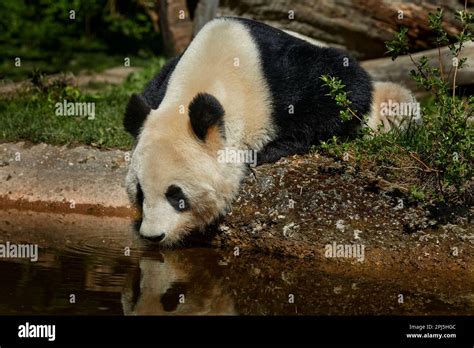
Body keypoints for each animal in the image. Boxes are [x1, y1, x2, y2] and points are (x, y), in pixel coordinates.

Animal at [123, 15, 418, 245]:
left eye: (176, 195)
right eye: (140, 193)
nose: (153, 236)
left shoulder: (275, 78)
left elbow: (345, 84)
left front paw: (271, 148)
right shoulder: (165, 80)